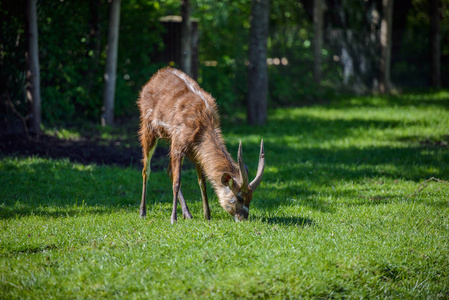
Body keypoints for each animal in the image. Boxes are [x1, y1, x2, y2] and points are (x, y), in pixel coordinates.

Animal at [136, 67, 262, 223]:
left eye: (250, 198)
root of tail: (153, 79)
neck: (203, 123)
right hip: (148, 128)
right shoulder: (178, 145)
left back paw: (188, 214)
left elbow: (202, 182)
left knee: (169, 170)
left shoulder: (196, 152)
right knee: (146, 170)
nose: (244, 218)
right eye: (239, 197)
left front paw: (207, 216)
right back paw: (143, 212)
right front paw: (173, 219)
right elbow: (177, 181)